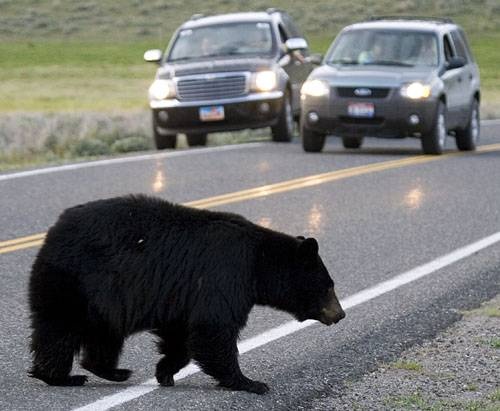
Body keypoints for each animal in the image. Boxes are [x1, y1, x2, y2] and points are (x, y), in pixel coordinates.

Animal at [28, 196, 344, 396]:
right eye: (329, 285)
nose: (340, 314)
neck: (258, 263)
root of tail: (52, 231)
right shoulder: (223, 274)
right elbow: (213, 328)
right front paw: (250, 382)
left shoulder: (183, 296)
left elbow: (180, 334)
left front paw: (164, 371)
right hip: (75, 280)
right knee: (58, 329)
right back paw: (61, 376)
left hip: (101, 298)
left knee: (103, 334)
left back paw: (113, 371)